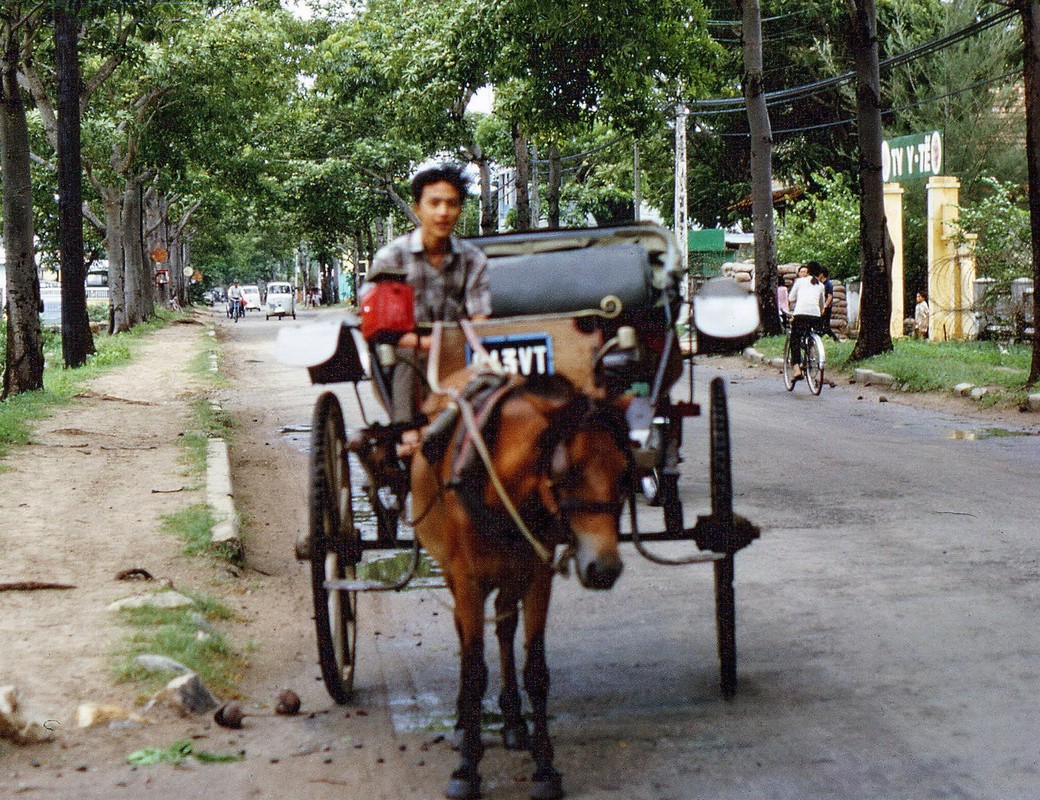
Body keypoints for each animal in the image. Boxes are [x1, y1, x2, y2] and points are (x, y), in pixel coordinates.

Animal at [409, 374, 628, 798]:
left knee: (505, 627)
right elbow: (474, 672)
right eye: (569, 472)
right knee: (464, 633)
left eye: (626, 472)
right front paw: (466, 768)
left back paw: (512, 720)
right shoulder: (468, 581)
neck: (502, 487)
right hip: (453, 572)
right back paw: (461, 723)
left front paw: (545, 768)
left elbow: (536, 672)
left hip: (511, 576)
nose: (604, 569)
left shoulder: (538, 577)